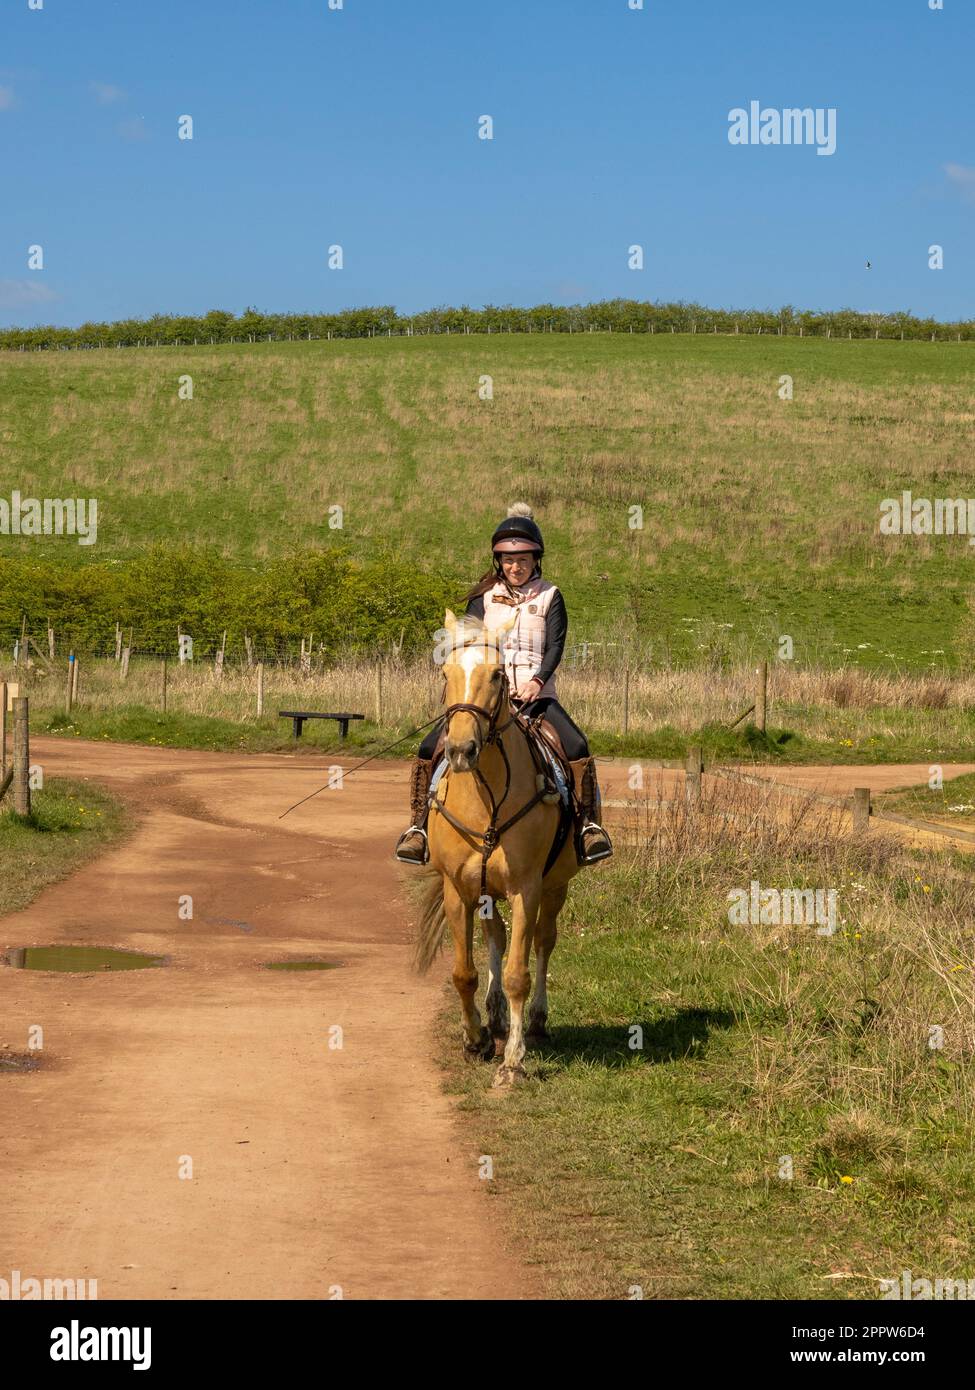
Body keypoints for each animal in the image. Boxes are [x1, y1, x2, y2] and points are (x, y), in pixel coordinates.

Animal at [411, 608, 578, 1084]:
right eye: (445, 673)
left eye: (498, 674)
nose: (461, 749)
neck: (486, 796)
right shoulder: (458, 890)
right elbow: (464, 972)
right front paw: (475, 1038)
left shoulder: (527, 888)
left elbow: (520, 972)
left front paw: (513, 1059)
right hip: (486, 891)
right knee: (496, 939)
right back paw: (496, 1015)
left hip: (555, 887)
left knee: (543, 941)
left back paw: (535, 1021)